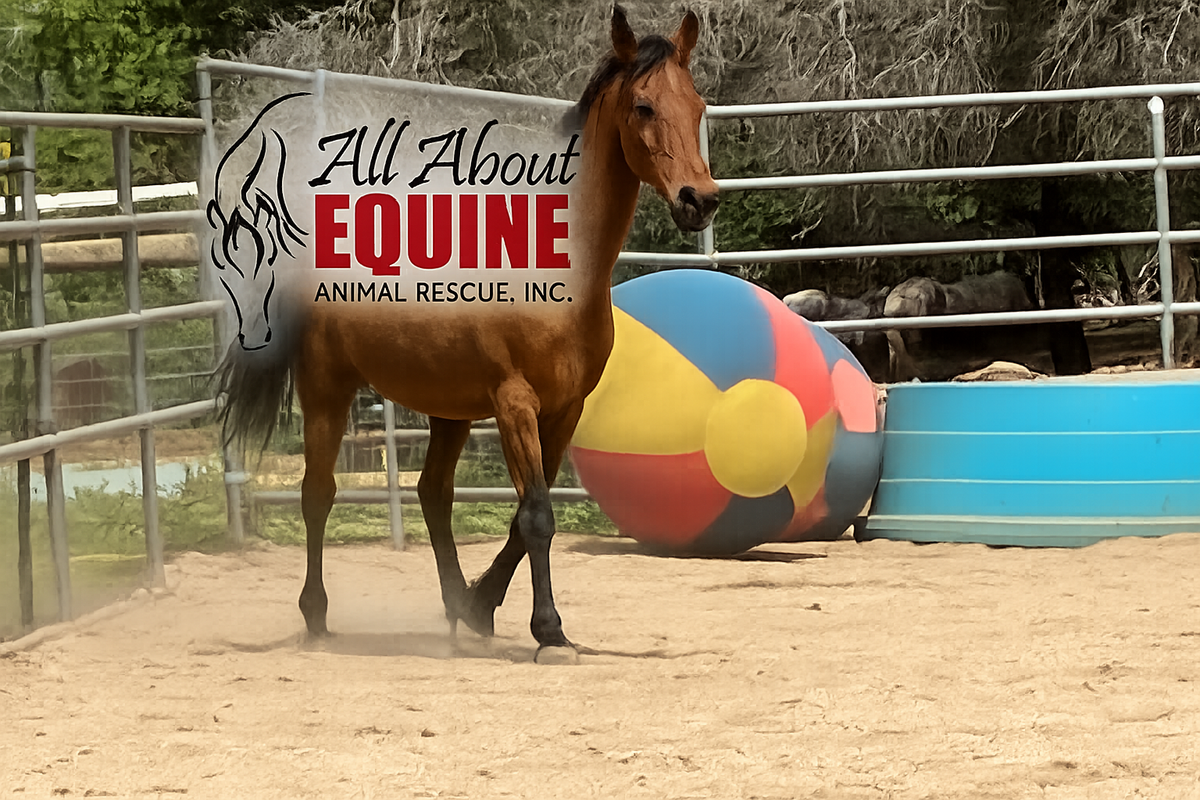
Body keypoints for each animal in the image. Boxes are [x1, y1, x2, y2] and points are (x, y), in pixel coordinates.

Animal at [216, 5, 720, 662]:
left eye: (697, 104)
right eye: (643, 106)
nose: (699, 200)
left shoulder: (565, 409)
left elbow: (526, 514)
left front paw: (484, 606)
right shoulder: (514, 404)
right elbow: (537, 516)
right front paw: (549, 631)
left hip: (448, 409)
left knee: (432, 494)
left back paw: (457, 606)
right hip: (327, 389)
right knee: (318, 493)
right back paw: (317, 616)